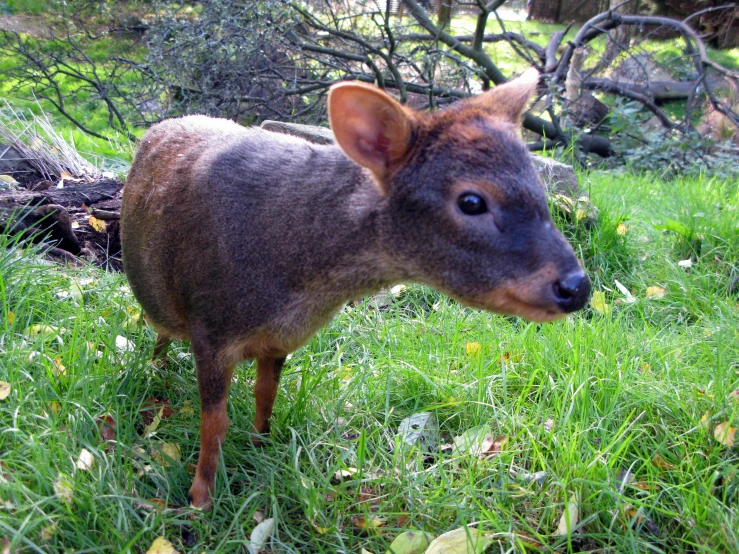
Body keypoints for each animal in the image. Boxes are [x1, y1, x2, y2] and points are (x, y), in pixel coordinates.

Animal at [124, 69, 592, 508]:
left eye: (538, 187)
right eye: (472, 201)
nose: (577, 287)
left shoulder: (279, 341)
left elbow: (266, 396)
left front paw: (260, 447)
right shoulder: (211, 328)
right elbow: (214, 422)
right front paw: (200, 497)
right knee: (158, 330)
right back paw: (156, 369)